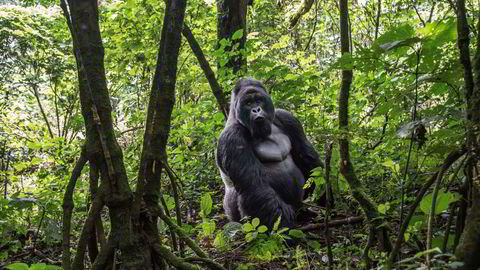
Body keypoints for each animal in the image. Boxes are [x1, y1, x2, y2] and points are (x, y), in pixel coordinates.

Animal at [217, 78, 322, 228]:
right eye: (248, 103)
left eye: (259, 100)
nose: (256, 109)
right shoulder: (232, 138)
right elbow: (255, 187)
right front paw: (285, 228)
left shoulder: (287, 118)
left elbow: (309, 161)